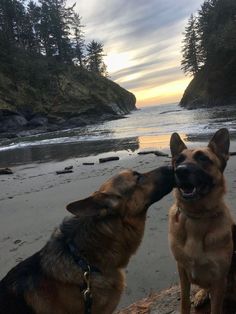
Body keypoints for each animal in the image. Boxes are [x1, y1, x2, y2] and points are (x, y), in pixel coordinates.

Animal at [169, 128, 235, 314]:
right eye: (178, 160)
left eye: (203, 158)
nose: (180, 171)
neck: (196, 217)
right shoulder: (182, 271)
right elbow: (184, 302)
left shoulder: (219, 279)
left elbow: (216, 308)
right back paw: (201, 295)